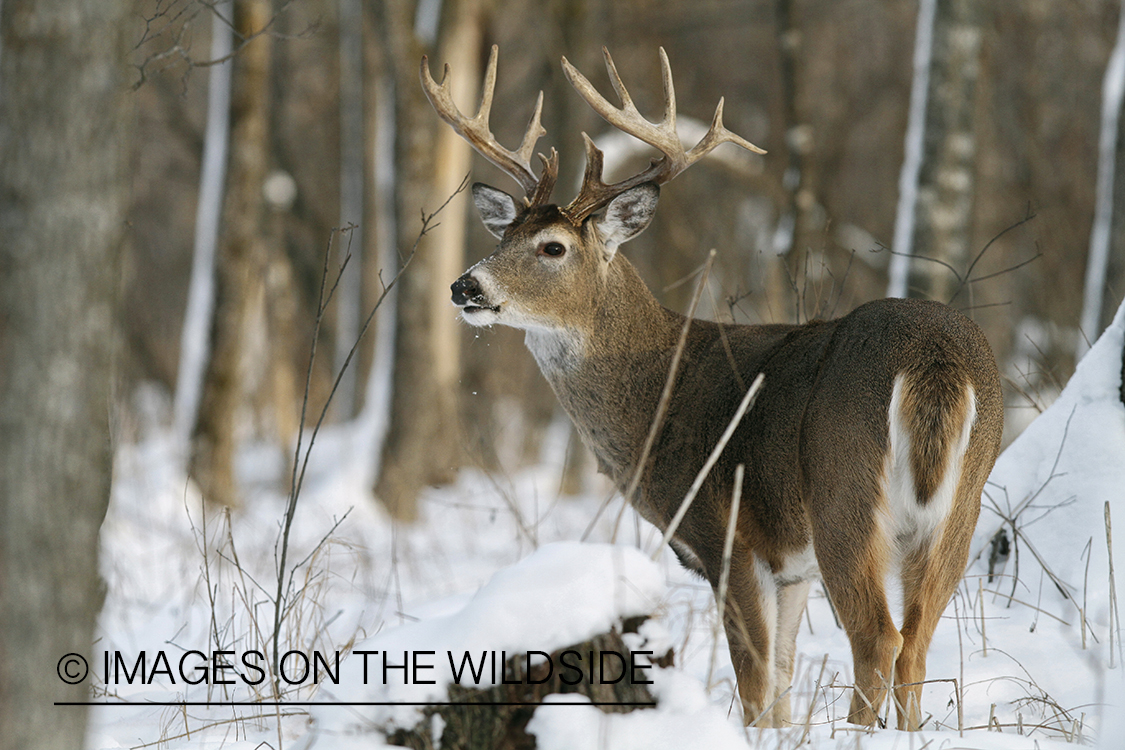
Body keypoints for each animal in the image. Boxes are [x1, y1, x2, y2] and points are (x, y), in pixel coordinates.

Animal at [423, 45, 1003, 728]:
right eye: (504, 236)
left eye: (553, 247)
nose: (466, 286)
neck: (656, 396)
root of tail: (935, 358)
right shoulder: (790, 568)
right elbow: (780, 679)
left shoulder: (723, 533)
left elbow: (753, 684)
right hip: (960, 508)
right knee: (916, 642)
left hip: (845, 493)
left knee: (877, 639)